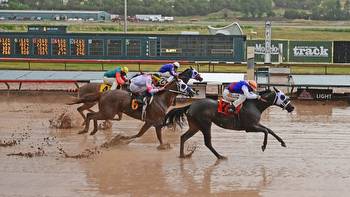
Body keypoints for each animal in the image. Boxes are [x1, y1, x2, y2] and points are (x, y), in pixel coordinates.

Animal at [165, 88, 296, 159]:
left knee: (183, 137)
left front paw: (283, 142)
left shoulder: (255, 124)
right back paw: (220, 156)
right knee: (208, 143)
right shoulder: (249, 127)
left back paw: (183, 155)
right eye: (283, 97)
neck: (255, 105)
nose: (292, 107)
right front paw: (263, 146)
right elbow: (265, 131)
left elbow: (270, 130)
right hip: (205, 124)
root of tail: (191, 105)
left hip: (195, 126)